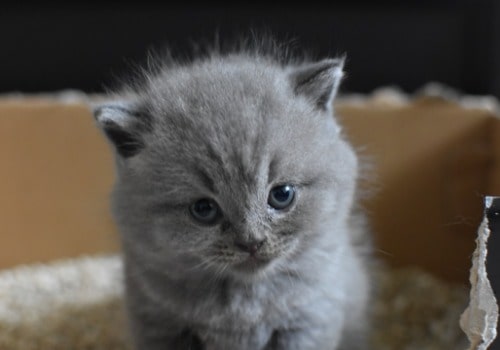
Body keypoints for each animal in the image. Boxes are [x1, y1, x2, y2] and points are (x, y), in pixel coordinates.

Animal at [94, 44, 374, 350]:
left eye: (282, 195)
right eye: (203, 209)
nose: (252, 242)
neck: (243, 303)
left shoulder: (310, 319)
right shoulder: (158, 323)